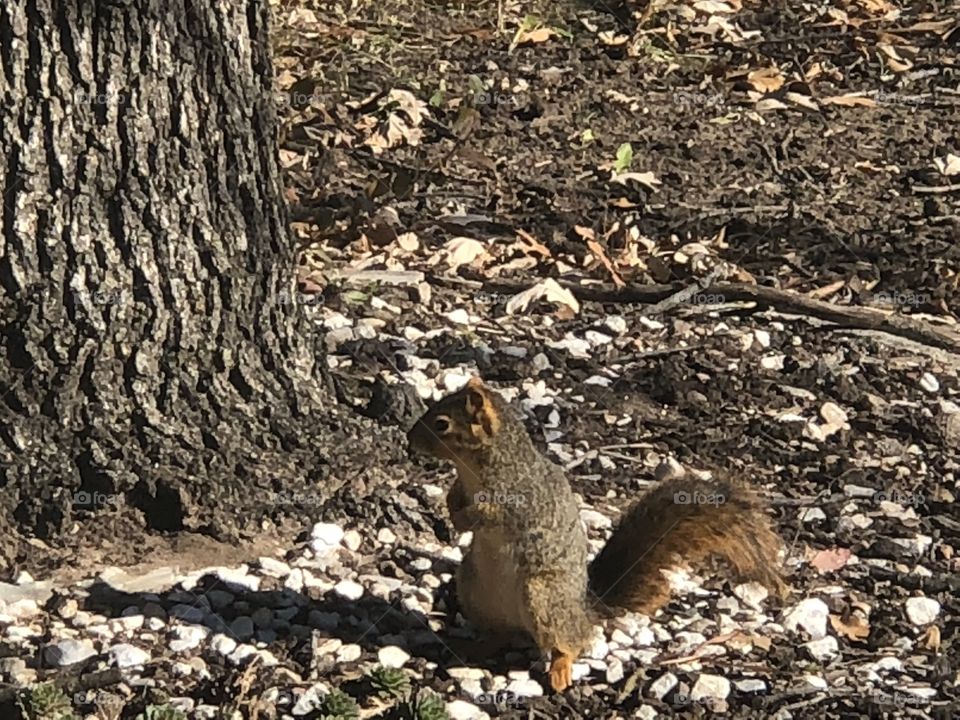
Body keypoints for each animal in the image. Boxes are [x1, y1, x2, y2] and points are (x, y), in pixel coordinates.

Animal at [404, 376, 788, 692]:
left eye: (441, 424)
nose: (409, 438)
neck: (478, 466)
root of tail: (586, 608)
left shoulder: (518, 501)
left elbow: (489, 516)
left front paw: (465, 518)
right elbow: (455, 495)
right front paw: (451, 510)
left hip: (542, 596)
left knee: (573, 642)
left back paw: (560, 669)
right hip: (473, 588)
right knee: (503, 635)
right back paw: (473, 645)